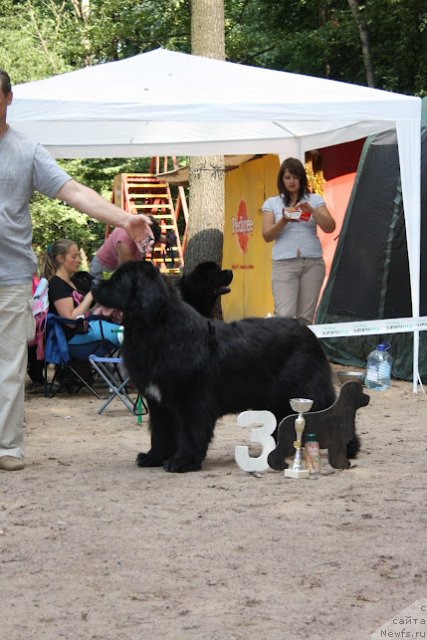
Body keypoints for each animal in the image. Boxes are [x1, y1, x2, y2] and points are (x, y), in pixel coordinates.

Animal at [93, 258, 338, 472]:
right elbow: (160, 432)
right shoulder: (158, 402)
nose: (93, 283)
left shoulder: (191, 399)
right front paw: (153, 457)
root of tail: (309, 332)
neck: (155, 330)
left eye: (118, 280)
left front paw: (182, 462)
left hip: (305, 392)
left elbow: (190, 432)